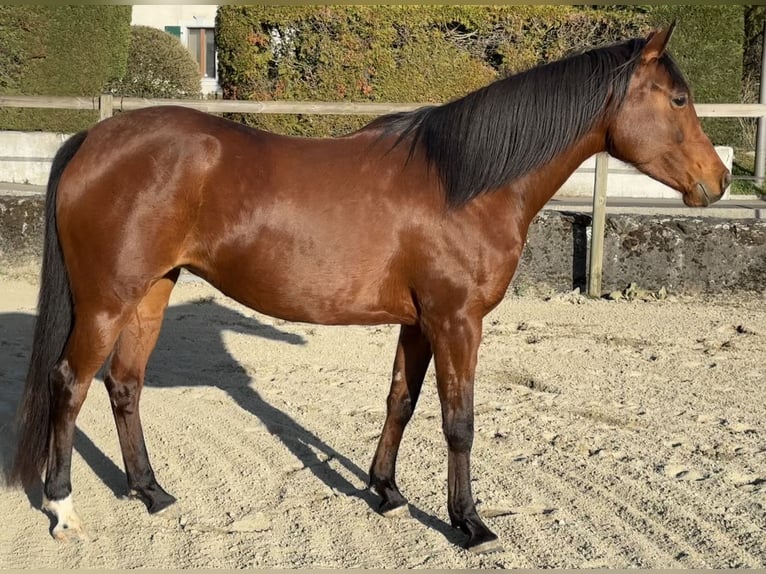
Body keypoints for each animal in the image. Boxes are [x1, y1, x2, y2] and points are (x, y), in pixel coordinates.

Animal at [11, 24, 729, 553]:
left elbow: (400, 403)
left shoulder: (420, 322)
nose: (719, 181)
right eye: (678, 100)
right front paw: (468, 523)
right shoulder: (457, 321)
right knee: (70, 385)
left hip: (151, 292)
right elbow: (459, 421)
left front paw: (385, 492)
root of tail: (94, 138)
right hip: (105, 301)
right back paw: (63, 507)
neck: (466, 182)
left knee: (123, 384)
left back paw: (151, 491)